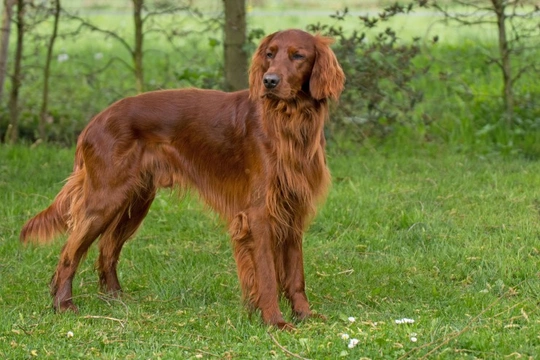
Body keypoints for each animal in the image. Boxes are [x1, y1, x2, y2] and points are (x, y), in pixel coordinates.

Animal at [21, 28, 344, 330]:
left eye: (298, 56)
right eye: (269, 54)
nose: (270, 81)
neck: (288, 123)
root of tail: (94, 122)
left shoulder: (293, 209)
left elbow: (296, 273)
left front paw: (304, 314)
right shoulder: (259, 213)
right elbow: (266, 274)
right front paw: (274, 321)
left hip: (135, 200)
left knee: (108, 249)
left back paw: (116, 299)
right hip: (105, 198)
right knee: (70, 251)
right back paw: (63, 305)